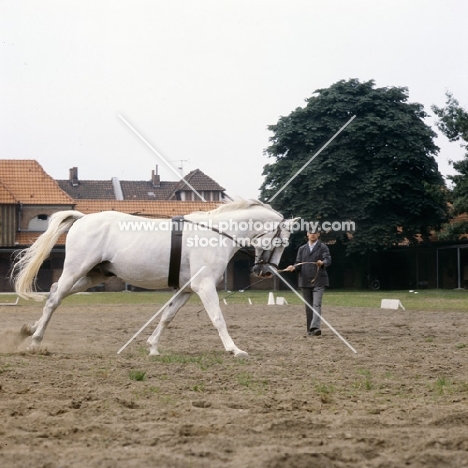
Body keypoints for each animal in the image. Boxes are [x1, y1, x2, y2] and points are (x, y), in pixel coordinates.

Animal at [12, 199, 294, 356]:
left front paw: (153, 347)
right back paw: (35, 341)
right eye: (281, 242)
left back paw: (29, 329)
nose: (265, 271)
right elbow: (218, 319)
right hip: (76, 270)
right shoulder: (204, 287)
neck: (215, 234)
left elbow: (167, 316)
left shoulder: (188, 289)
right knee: (54, 300)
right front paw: (235, 349)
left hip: (93, 275)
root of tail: (83, 219)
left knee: (54, 291)